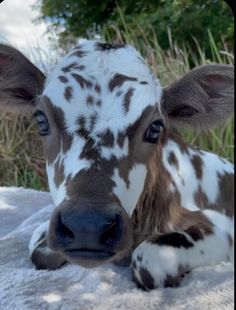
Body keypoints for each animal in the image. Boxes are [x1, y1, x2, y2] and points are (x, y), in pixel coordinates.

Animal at [0, 40, 233, 290]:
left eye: (155, 128)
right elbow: (39, 249)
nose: (87, 225)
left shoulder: (222, 227)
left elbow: (149, 259)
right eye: (41, 120)